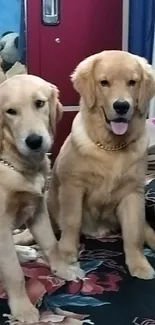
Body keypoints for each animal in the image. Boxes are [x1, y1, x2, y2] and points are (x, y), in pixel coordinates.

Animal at [0, 75, 83, 322]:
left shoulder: (37, 209)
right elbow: (13, 272)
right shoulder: (1, 225)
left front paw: (62, 270)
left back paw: (25, 252)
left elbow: (51, 243)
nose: (35, 141)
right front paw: (23, 309)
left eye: (39, 103)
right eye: (10, 111)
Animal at [47, 50, 155, 278]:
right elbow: (71, 221)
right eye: (104, 83)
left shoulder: (133, 193)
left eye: (132, 82)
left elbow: (134, 233)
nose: (122, 106)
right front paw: (66, 254)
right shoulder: (73, 186)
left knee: (147, 229)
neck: (111, 148)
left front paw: (139, 264)